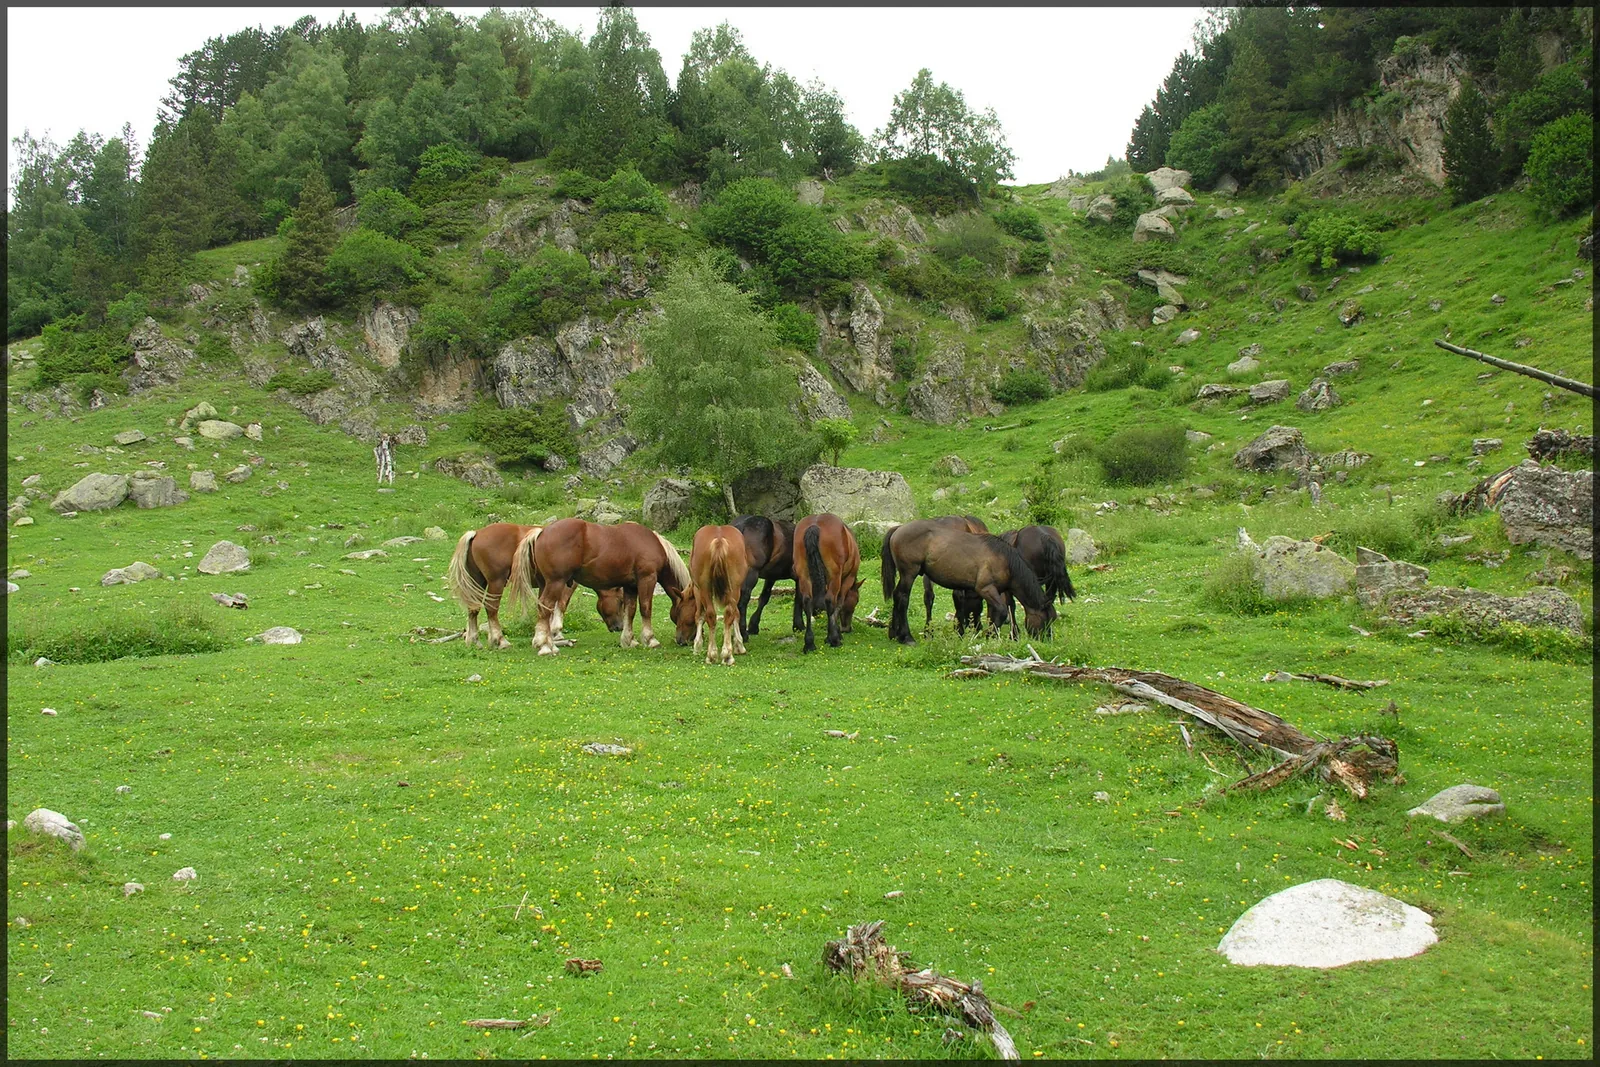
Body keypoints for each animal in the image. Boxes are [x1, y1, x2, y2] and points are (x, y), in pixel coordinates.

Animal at [446, 523, 626, 648]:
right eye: (621, 601)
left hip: (477, 582)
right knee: (491, 608)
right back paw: (501, 640)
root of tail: (476, 533)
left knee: (473, 608)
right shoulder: (564, 584)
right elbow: (559, 606)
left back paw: (474, 640)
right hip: (495, 582)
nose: (619, 627)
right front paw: (555, 633)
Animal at [525, 518, 692, 655]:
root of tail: (541, 532)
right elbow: (645, 608)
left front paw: (628, 640)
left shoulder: (630, 586)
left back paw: (550, 645)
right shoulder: (647, 579)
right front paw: (650, 640)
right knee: (545, 607)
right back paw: (545, 647)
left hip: (545, 584)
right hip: (556, 582)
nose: (684, 641)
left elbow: (630, 612)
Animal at [687, 524, 750, 665]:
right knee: (729, 613)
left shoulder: (697, 589)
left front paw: (697, 645)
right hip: (734, 588)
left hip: (704, 588)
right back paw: (727, 655)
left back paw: (712, 654)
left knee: (711, 614)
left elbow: (699, 615)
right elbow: (736, 613)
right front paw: (739, 645)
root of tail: (719, 541)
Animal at [791, 513, 862, 653]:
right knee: (829, 600)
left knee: (807, 601)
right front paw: (834, 635)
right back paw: (834, 639)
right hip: (834, 576)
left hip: (804, 574)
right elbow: (838, 604)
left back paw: (809, 643)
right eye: (856, 601)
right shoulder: (847, 579)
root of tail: (815, 525)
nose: (847, 628)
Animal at [880, 519, 1055, 644]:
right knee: (902, 598)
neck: (1005, 560)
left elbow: (992, 612)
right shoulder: (985, 588)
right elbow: (1002, 611)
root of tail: (898, 528)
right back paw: (906, 637)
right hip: (909, 573)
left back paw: (894, 633)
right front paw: (989, 635)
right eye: (1045, 619)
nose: (1047, 640)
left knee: (897, 596)